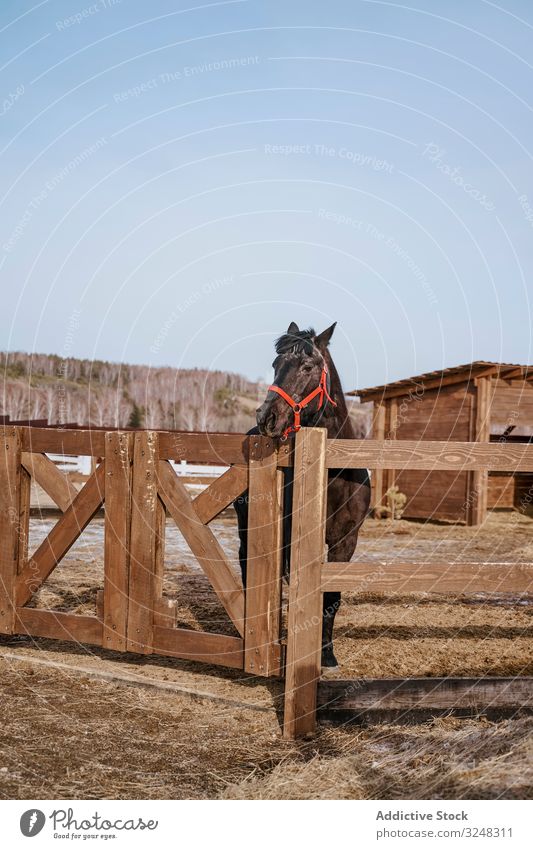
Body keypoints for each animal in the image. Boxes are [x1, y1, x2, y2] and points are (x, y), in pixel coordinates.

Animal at [234, 322, 370, 664]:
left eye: (308, 367)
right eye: (275, 365)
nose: (266, 417)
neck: (333, 472)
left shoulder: (345, 541)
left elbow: (331, 596)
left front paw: (327, 653)